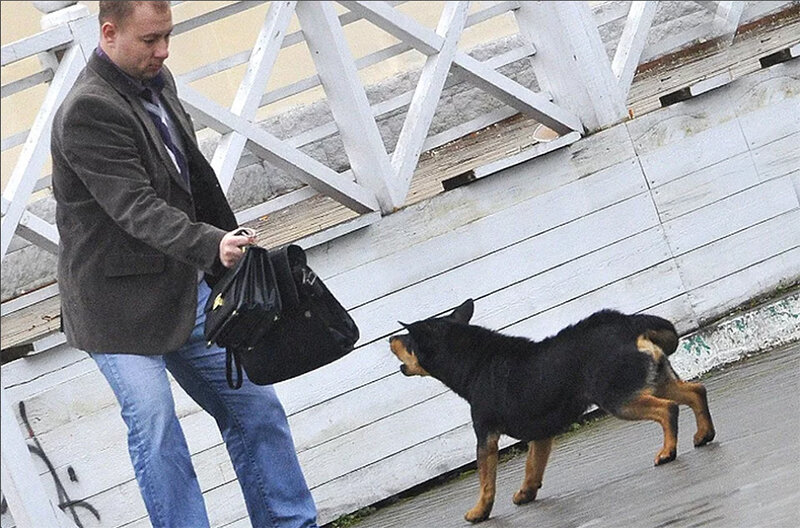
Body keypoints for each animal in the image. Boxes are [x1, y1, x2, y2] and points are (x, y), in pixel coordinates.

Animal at [390, 300, 716, 520]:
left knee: (668, 410)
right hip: (655, 381)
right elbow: (532, 466)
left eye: (407, 339)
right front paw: (526, 493)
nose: (390, 338)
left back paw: (667, 451)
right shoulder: (541, 433)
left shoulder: (485, 436)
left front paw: (479, 512)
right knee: (696, 392)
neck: (474, 363)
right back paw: (704, 434)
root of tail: (629, 324)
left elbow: (486, 480)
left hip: (620, 398)